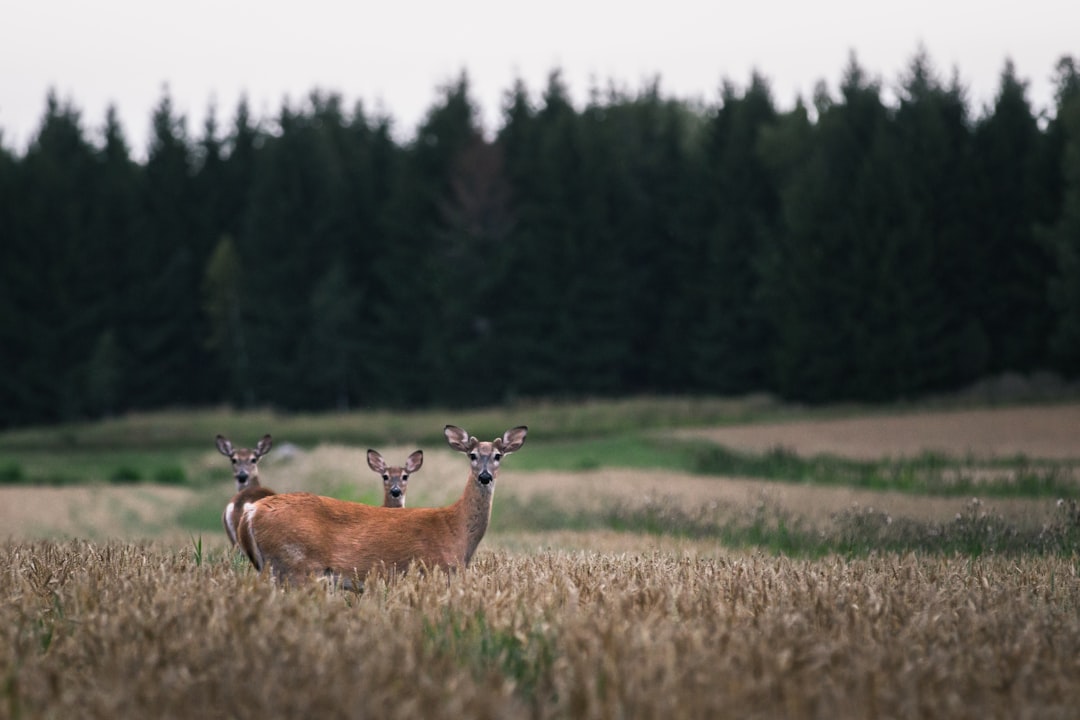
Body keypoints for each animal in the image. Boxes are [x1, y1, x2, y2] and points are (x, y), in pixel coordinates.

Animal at [236, 425, 527, 587]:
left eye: (498, 455)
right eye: (473, 455)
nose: (485, 476)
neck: (456, 530)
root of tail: (251, 512)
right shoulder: (435, 570)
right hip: (296, 566)